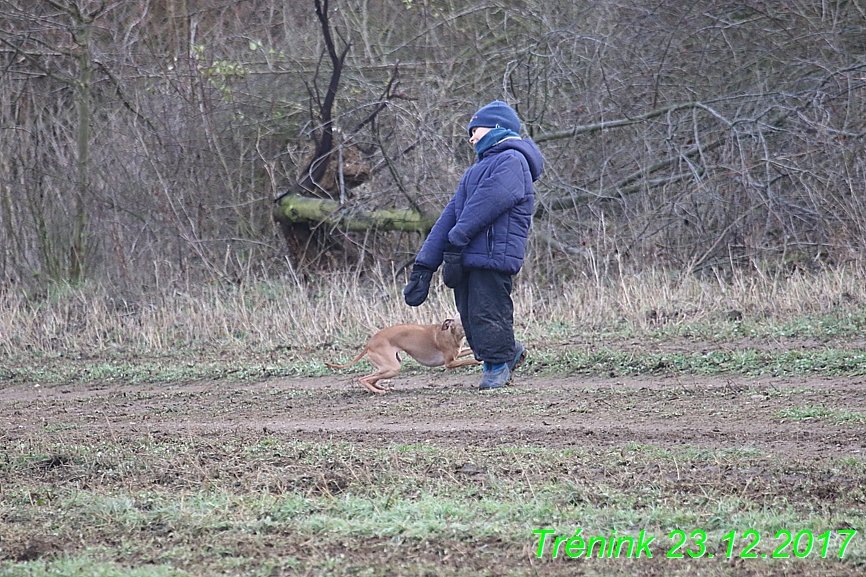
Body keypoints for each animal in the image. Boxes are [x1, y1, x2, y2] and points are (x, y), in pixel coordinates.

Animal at [324, 318, 480, 394]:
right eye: (463, 322)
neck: (450, 334)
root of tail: (369, 343)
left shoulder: (459, 353)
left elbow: (470, 352)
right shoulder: (450, 363)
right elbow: (470, 360)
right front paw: (480, 361)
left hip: (388, 367)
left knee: (372, 379)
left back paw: (384, 389)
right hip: (392, 368)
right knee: (363, 379)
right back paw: (379, 392)